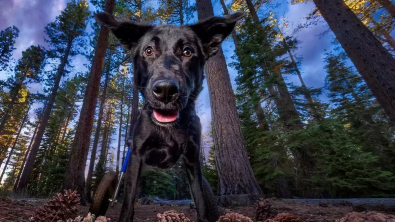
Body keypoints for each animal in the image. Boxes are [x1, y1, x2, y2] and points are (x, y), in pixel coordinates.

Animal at [96, 10, 246, 222]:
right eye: (148, 50)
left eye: (187, 52)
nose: (165, 90)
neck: (168, 130)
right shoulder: (135, 155)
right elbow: (128, 201)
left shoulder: (192, 158)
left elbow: (200, 199)